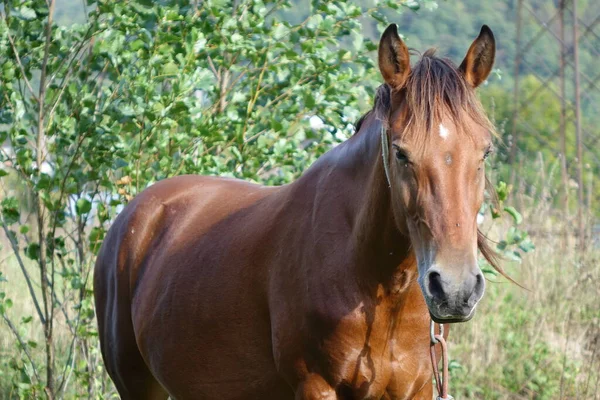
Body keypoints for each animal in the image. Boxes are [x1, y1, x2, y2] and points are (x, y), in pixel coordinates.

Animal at [94, 25, 496, 400]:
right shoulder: (316, 385)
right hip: (137, 385)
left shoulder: (416, 387)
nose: (455, 289)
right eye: (401, 153)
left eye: (485, 151)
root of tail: (133, 216)